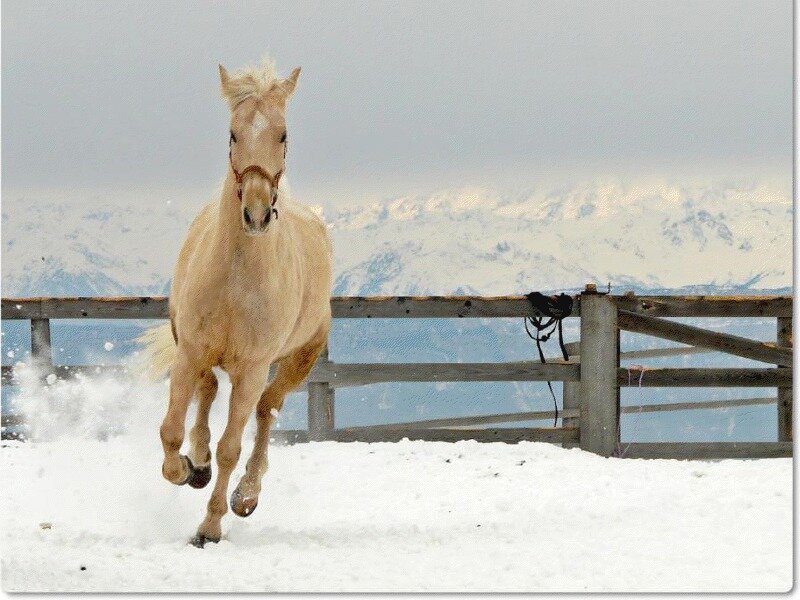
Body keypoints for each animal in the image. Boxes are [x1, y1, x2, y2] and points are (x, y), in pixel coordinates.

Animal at [139, 57, 332, 547]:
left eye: (282, 134)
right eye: (232, 133)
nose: (257, 213)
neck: (236, 279)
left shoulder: (252, 368)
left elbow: (232, 445)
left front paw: (209, 527)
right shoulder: (190, 351)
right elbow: (171, 429)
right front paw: (187, 468)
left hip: (298, 359)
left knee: (266, 411)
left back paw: (246, 495)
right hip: (199, 349)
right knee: (207, 390)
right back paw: (200, 463)